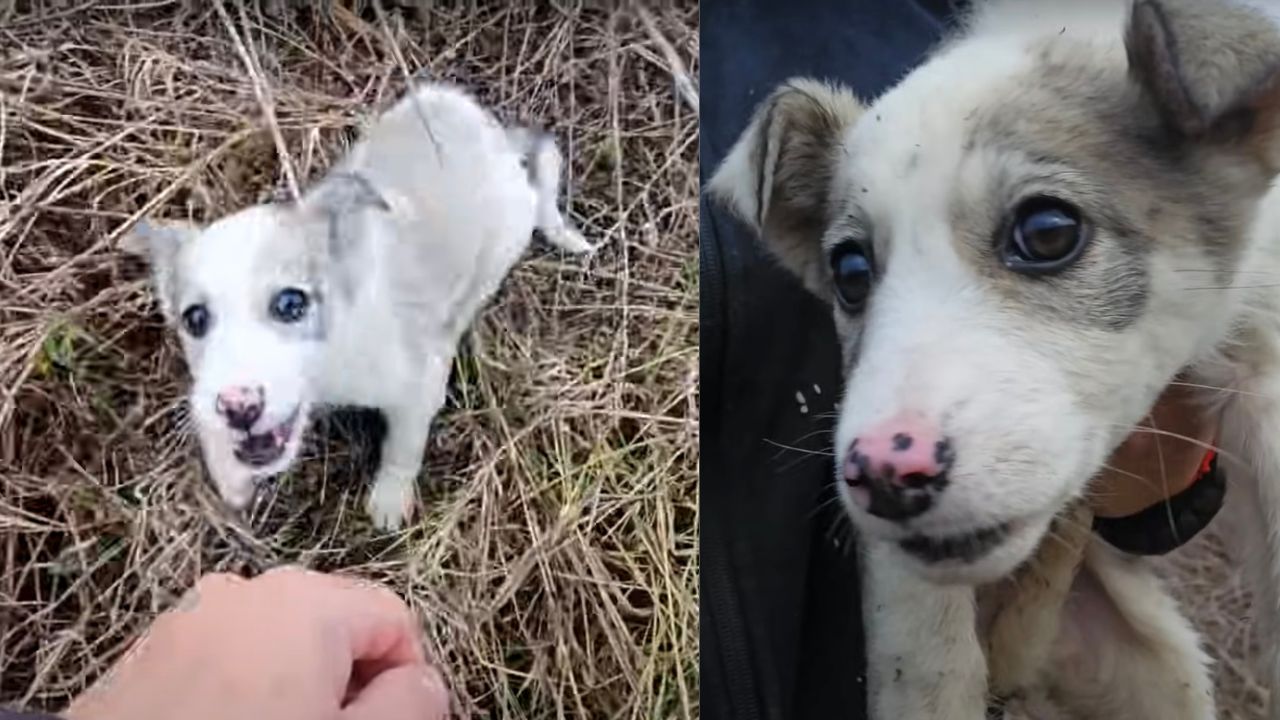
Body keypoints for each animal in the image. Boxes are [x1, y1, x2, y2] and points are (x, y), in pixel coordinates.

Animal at [129, 82, 588, 527]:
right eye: (195, 319)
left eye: (291, 304)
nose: (238, 408)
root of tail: (496, 137)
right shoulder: (205, 391)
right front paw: (230, 476)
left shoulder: (418, 387)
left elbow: (403, 447)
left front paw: (389, 502)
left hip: (509, 234)